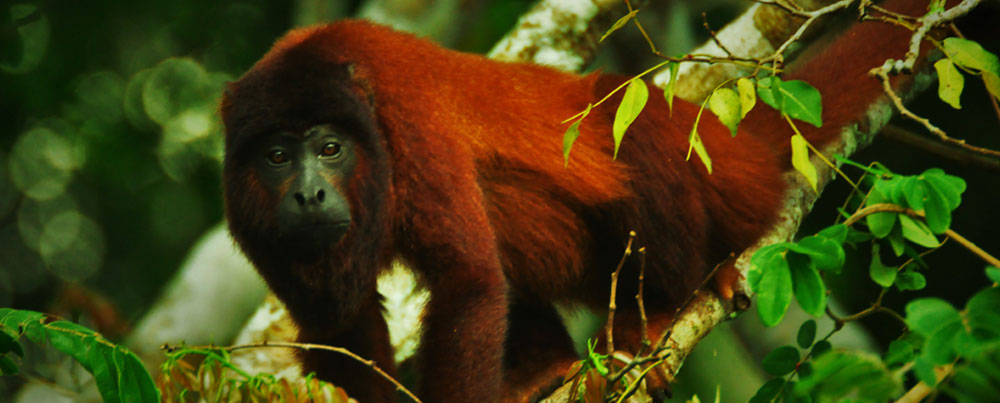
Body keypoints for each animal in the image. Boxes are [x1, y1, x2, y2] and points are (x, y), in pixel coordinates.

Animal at [220, 0, 927, 401]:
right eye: (277, 156)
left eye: (329, 148)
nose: (310, 192)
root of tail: (738, 151)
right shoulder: (248, 214)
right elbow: (339, 327)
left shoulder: (407, 122)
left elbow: (469, 280)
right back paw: (544, 373)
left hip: (725, 190)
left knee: (626, 120)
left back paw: (660, 312)